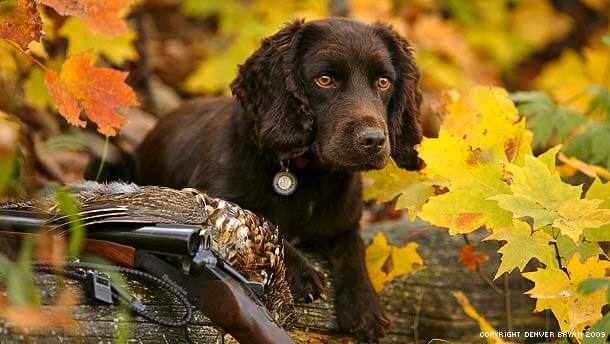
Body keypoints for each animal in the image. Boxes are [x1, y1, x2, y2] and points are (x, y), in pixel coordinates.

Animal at [137, 17, 420, 340]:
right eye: (325, 80)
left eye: (384, 82)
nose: (373, 140)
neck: (310, 175)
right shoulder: (204, 194)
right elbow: (260, 218)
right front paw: (301, 273)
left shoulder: (343, 224)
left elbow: (354, 250)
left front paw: (365, 306)